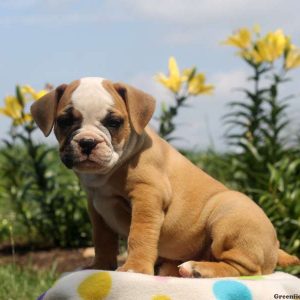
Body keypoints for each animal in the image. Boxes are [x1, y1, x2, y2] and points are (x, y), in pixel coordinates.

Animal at [29, 78, 298, 278]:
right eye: (64, 121)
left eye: (114, 122)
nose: (87, 142)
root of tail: (276, 247)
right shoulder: (97, 208)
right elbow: (102, 240)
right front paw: (100, 267)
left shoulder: (147, 195)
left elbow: (139, 234)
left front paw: (135, 269)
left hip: (229, 214)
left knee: (245, 269)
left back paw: (197, 269)